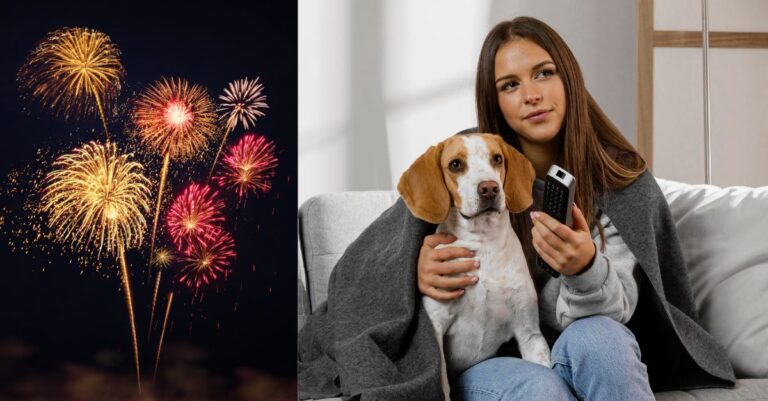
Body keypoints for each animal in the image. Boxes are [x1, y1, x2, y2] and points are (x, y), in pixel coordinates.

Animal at [400, 133, 548, 398]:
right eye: (455, 165)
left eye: (497, 159)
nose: (489, 188)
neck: (483, 243)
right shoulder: (436, 327)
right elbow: (442, 386)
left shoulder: (529, 332)